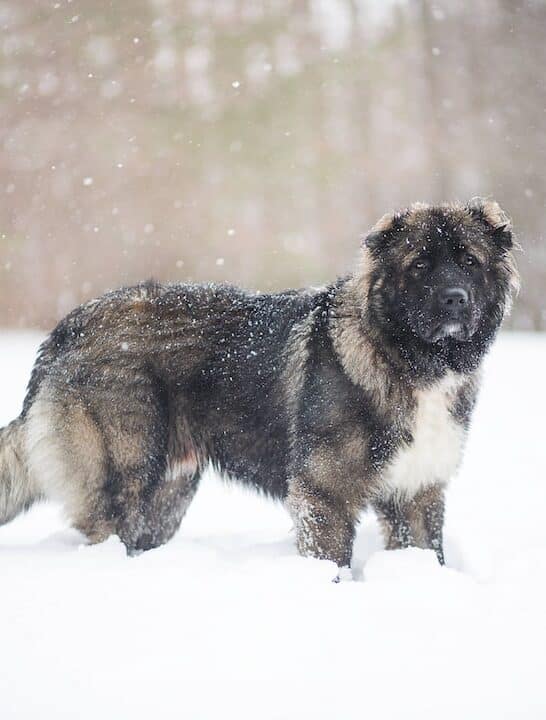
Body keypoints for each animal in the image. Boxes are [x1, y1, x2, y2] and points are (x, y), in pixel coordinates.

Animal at [0, 197, 516, 572]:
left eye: (470, 261)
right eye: (420, 265)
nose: (455, 299)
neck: (405, 357)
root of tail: (65, 330)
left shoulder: (416, 492)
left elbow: (429, 552)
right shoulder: (324, 493)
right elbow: (333, 562)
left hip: (168, 493)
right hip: (123, 476)